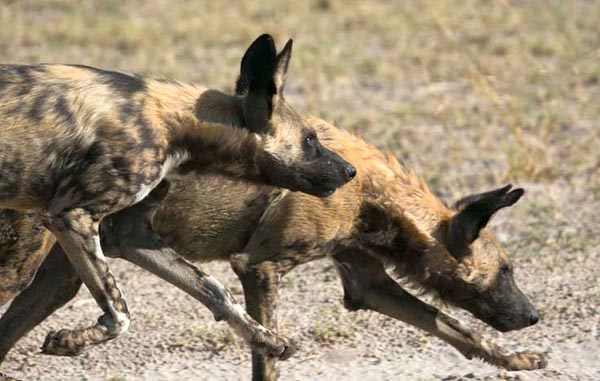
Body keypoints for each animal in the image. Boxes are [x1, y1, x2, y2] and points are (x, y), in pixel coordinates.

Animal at [0, 34, 356, 358]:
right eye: (310, 140)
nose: (350, 170)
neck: (180, 124)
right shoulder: (71, 216)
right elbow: (120, 314)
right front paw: (72, 341)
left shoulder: (132, 235)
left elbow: (215, 290)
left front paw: (265, 338)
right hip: (21, 267)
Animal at [0, 117, 548, 378]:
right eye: (506, 272)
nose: (533, 316)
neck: (373, 193)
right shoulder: (260, 268)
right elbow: (267, 360)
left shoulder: (367, 284)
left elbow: (459, 330)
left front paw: (517, 361)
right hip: (24, 266)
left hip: (61, 275)